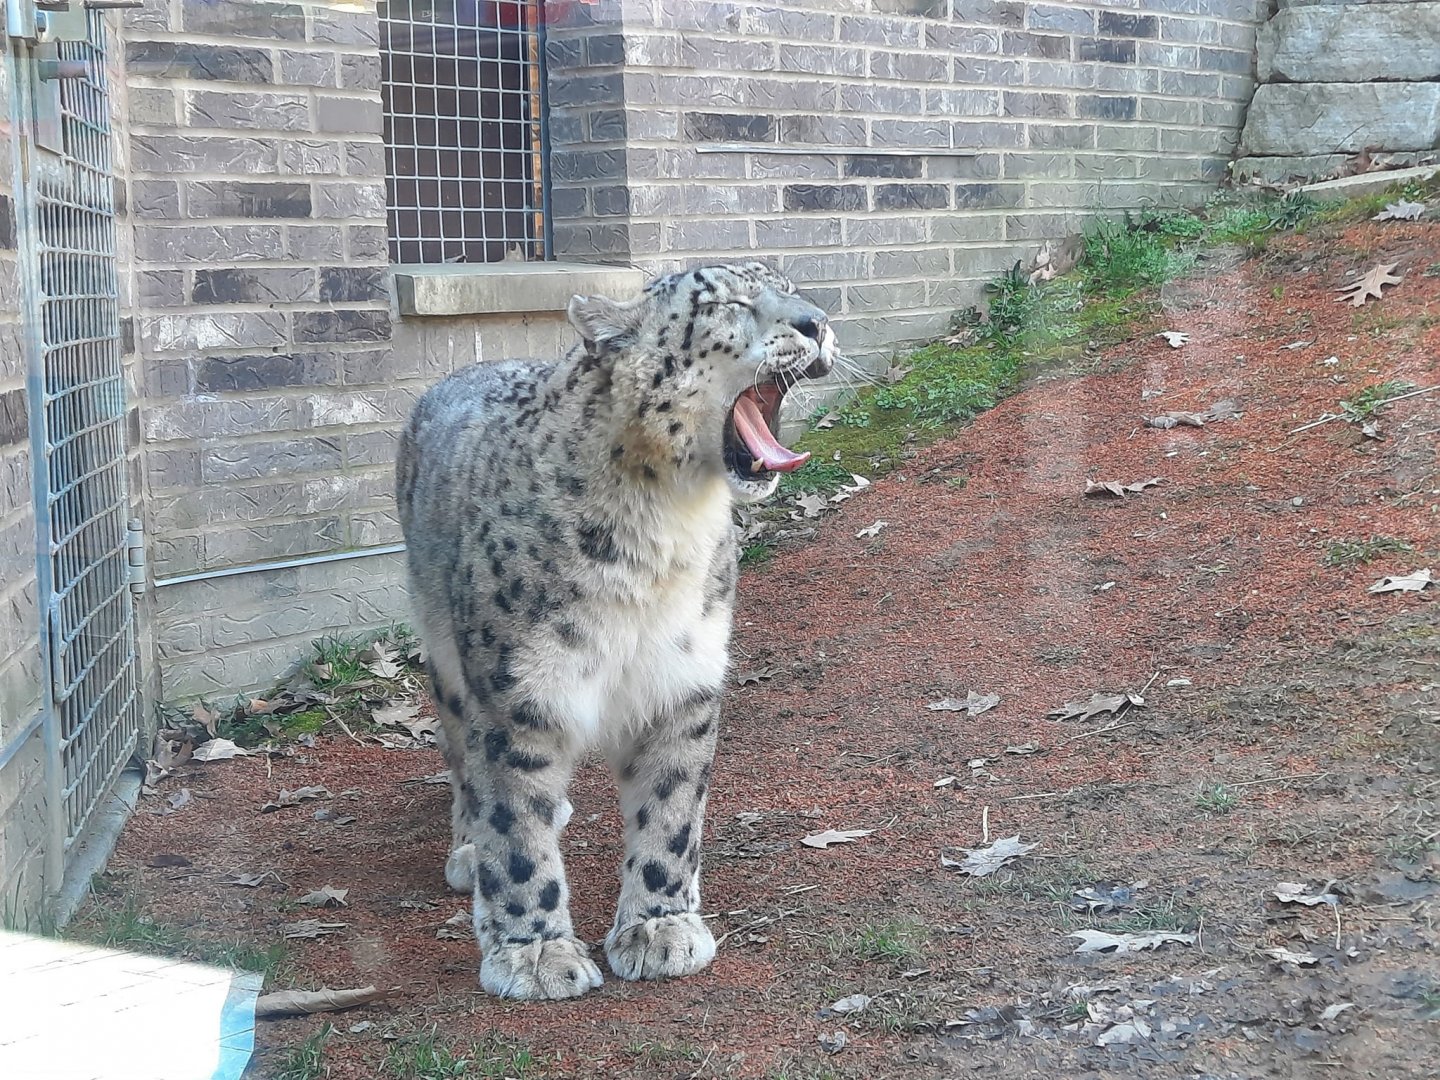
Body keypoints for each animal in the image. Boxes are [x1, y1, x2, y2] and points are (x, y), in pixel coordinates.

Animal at [395, 261, 838, 1000]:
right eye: (727, 302)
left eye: (792, 286)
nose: (819, 321)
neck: (664, 531)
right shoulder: (520, 696)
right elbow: (515, 828)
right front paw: (535, 954)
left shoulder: (683, 682)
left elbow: (670, 813)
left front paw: (660, 929)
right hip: (451, 661)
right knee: (463, 759)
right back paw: (469, 847)